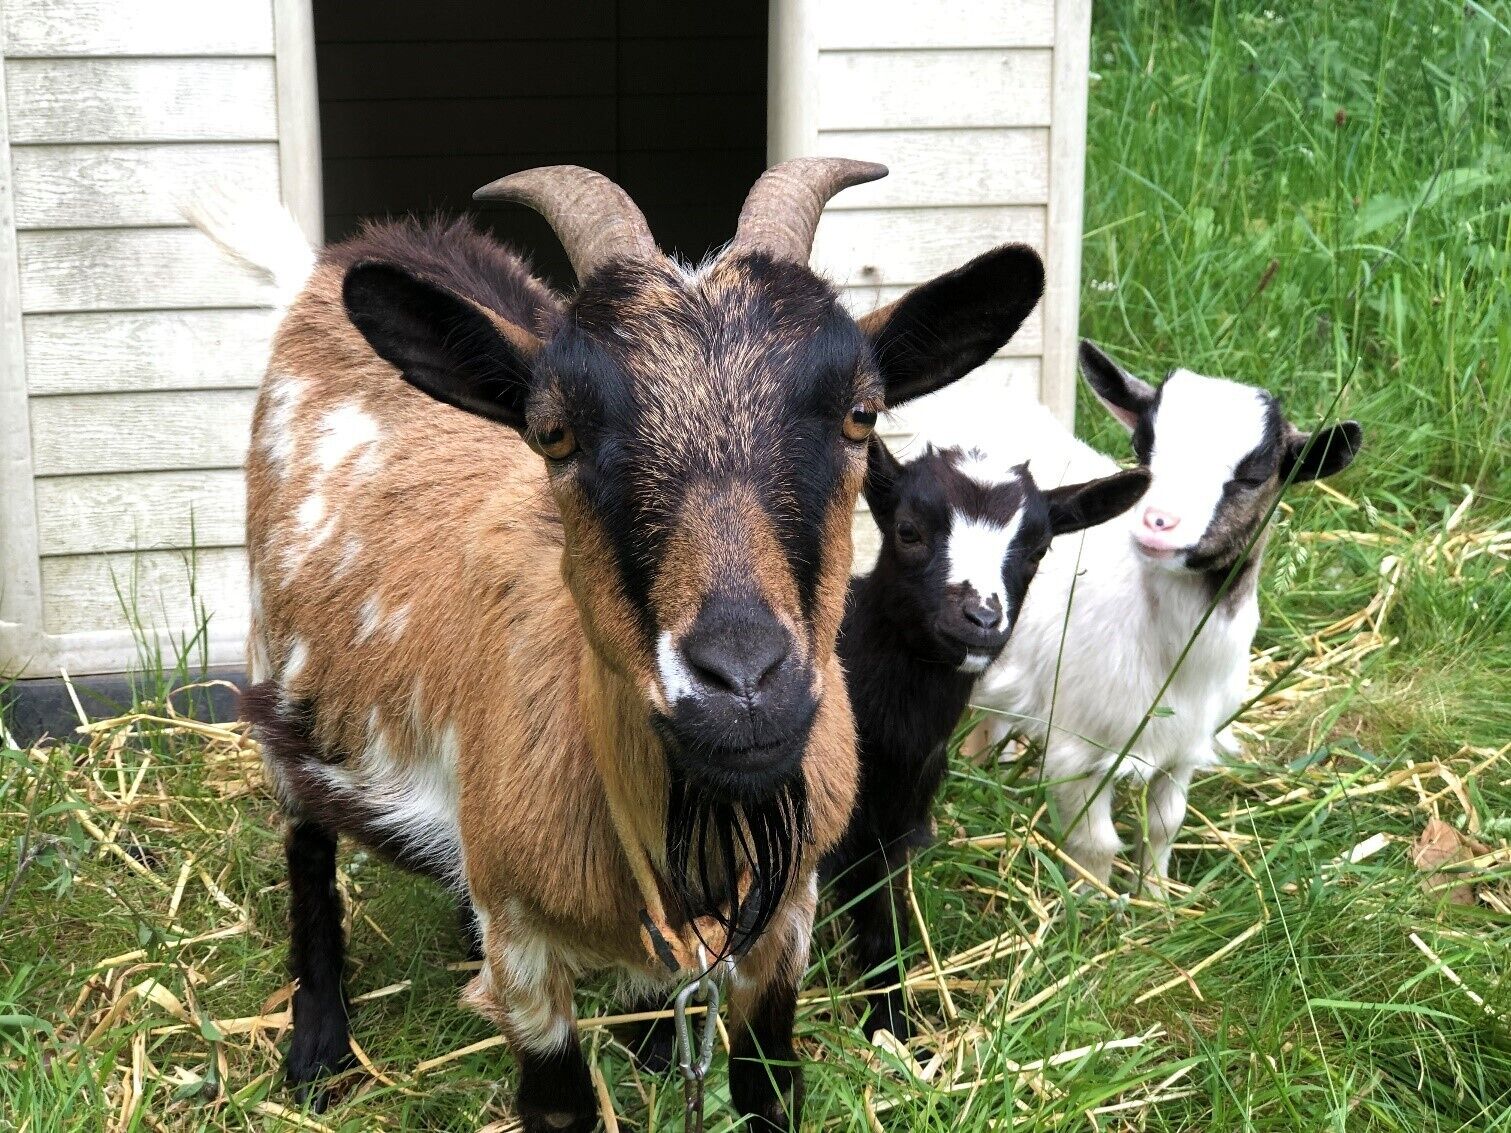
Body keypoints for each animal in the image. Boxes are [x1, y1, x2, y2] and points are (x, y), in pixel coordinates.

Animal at [224, 161, 1047, 1130]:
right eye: (554, 432)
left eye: (860, 413)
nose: (743, 680)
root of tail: (343, 258)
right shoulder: (526, 953)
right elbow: (558, 1103)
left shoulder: (786, 918)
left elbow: (769, 1084)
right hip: (278, 672)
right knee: (307, 845)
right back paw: (318, 1046)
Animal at [826, 439, 1148, 1040]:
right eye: (908, 530)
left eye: (1039, 549)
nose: (980, 618)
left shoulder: (890, 826)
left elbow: (883, 923)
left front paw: (893, 1027)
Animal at [973, 342, 1362, 892]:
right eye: (1142, 447)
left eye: (1254, 474)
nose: (1158, 522)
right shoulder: (1078, 744)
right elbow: (1094, 843)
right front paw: (1091, 904)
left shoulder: (1183, 751)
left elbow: (1163, 826)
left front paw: (1156, 897)